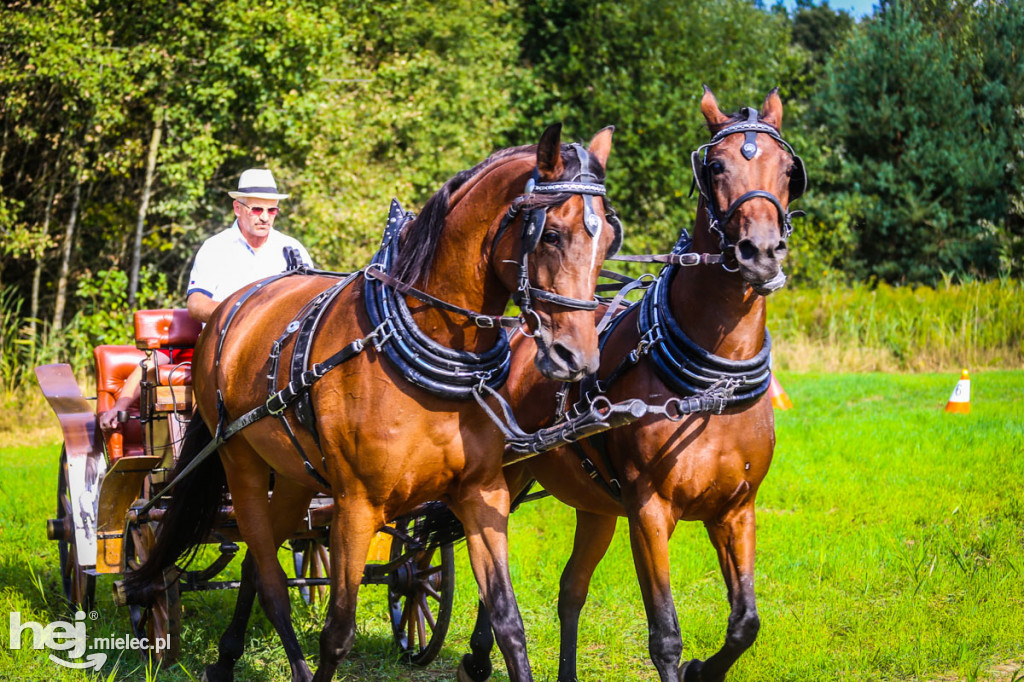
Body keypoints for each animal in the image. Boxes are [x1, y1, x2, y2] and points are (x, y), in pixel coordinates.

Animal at [123, 123, 618, 679]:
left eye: (608, 240)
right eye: (551, 234)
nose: (578, 357)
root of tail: (230, 309)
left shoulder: (482, 493)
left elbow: (508, 622)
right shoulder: (356, 504)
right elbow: (337, 632)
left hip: (294, 476)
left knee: (257, 561)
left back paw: (228, 657)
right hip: (240, 461)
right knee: (269, 578)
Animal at [460, 86, 802, 679]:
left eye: (787, 169)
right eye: (715, 166)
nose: (760, 252)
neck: (715, 379)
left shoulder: (737, 509)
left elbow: (745, 623)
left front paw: (705, 669)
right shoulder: (649, 510)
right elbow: (665, 635)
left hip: (593, 505)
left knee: (570, 588)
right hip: (508, 476)